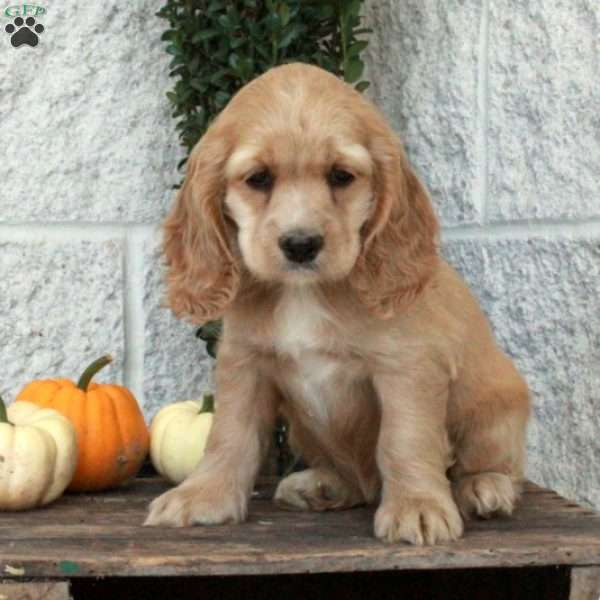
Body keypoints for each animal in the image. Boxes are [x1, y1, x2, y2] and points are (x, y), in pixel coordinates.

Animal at [146, 62, 528, 544]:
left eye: (341, 176)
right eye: (258, 179)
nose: (301, 244)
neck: (305, 291)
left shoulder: (408, 367)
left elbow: (405, 438)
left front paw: (417, 506)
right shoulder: (244, 363)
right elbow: (229, 434)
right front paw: (203, 496)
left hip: (495, 407)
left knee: (495, 465)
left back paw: (484, 488)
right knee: (358, 484)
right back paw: (322, 486)